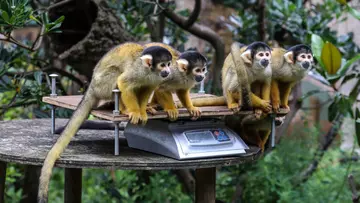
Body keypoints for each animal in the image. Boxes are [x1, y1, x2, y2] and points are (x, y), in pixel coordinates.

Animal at [37, 42, 172, 203]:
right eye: (162, 64)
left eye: (169, 64)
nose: (168, 71)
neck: (150, 71)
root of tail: (91, 86)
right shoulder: (137, 71)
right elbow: (124, 82)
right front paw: (134, 111)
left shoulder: (156, 79)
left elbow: (147, 88)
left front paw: (143, 110)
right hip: (102, 85)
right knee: (116, 75)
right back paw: (122, 108)